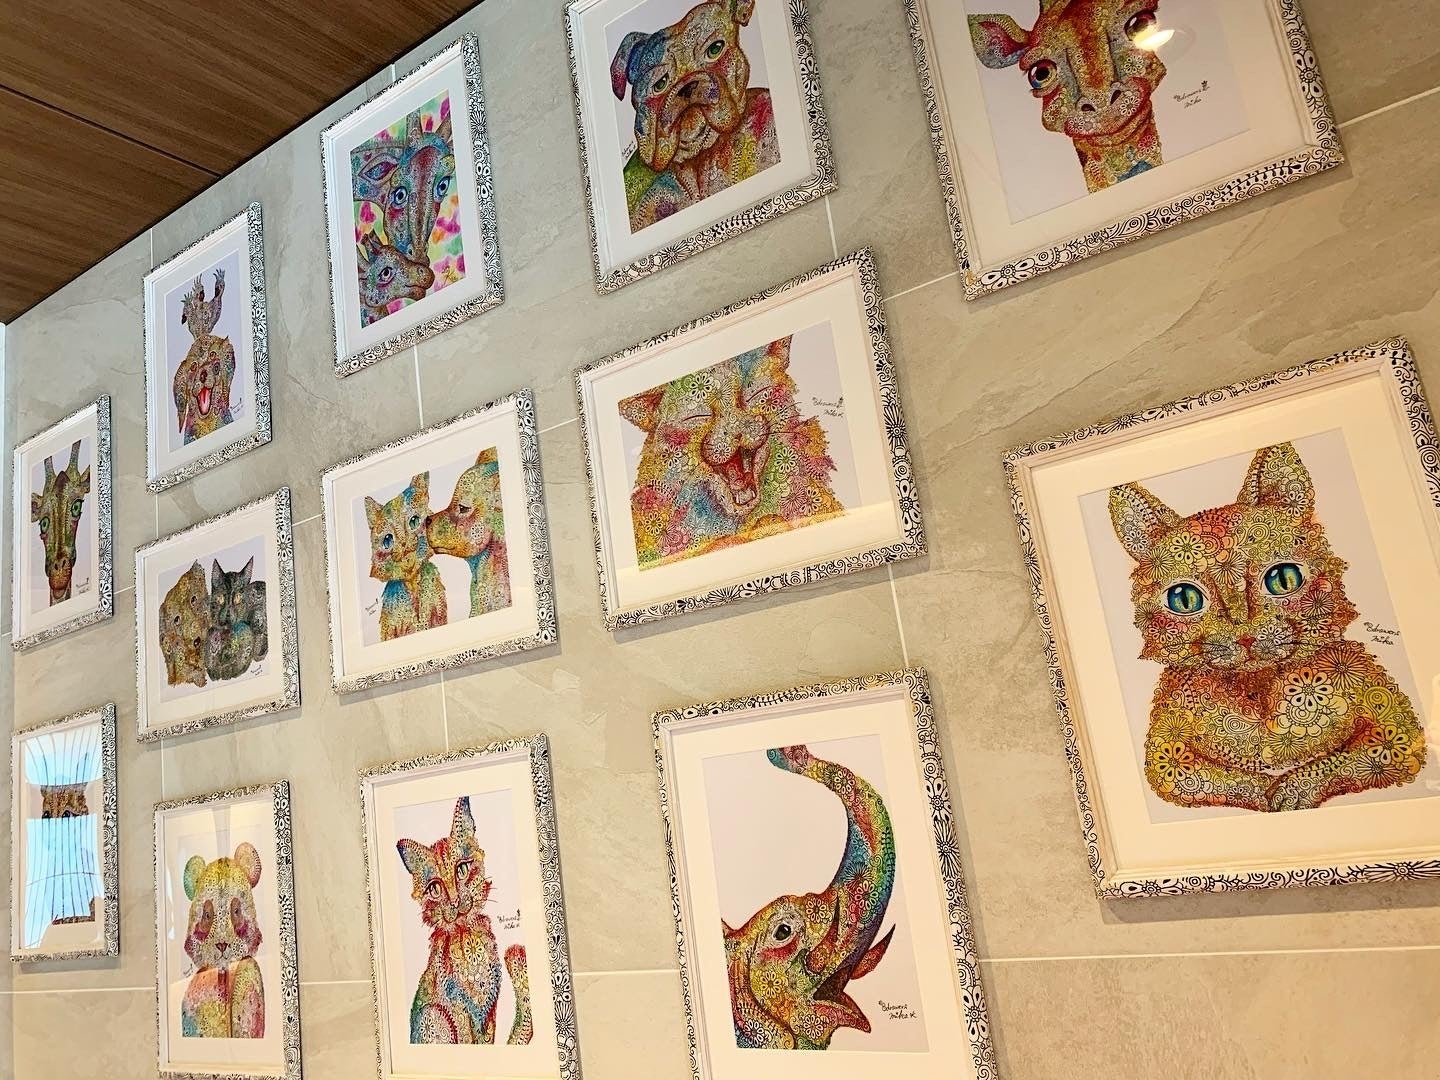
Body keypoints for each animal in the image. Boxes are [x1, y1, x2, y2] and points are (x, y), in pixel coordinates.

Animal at [396, 797, 532, 1046]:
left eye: (462, 869)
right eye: (435, 889)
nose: (455, 901)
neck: (466, 938)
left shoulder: (488, 1012)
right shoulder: (458, 1011)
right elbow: (467, 1039)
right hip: (435, 1016)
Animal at [1109, 442, 1427, 813]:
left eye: (1283, 579)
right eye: (1184, 599)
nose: (1244, 635)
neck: (1257, 687)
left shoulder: (1399, 731)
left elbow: (1341, 762)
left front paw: (1290, 792)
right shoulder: (1164, 754)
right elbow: (1212, 779)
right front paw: (1267, 796)